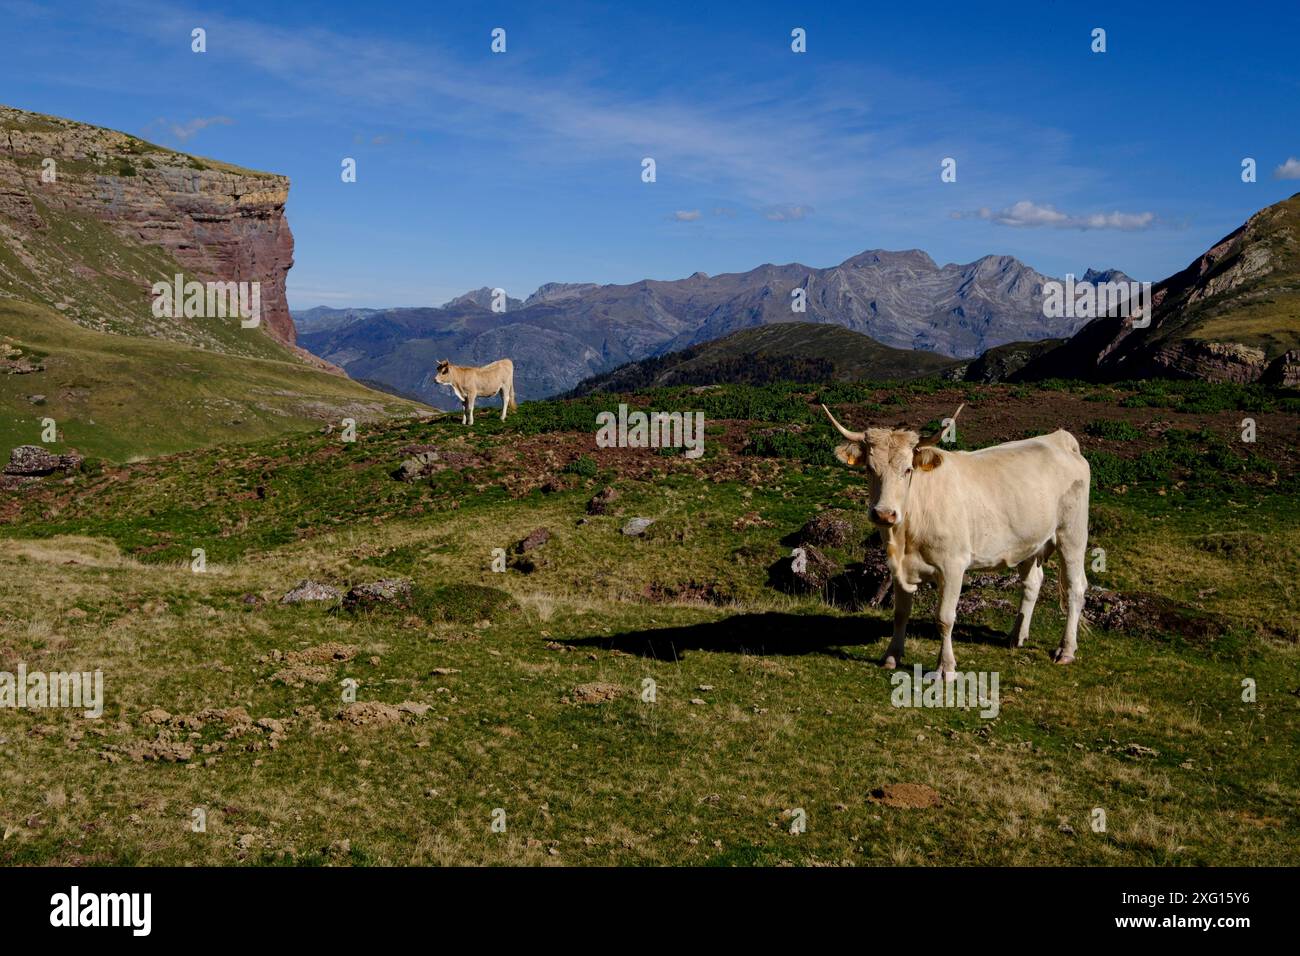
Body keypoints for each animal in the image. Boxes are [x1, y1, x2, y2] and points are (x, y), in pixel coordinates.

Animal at [826, 400, 1092, 676]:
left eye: (908, 469)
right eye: (869, 468)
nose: (884, 513)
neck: (905, 535)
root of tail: (1059, 438)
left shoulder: (953, 565)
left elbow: (944, 618)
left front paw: (946, 667)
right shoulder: (898, 567)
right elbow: (900, 613)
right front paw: (891, 656)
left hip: (1072, 535)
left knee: (1075, 587)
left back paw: (1066, 650)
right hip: (1029, 542)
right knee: (1032, 583)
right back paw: (1016, 637)